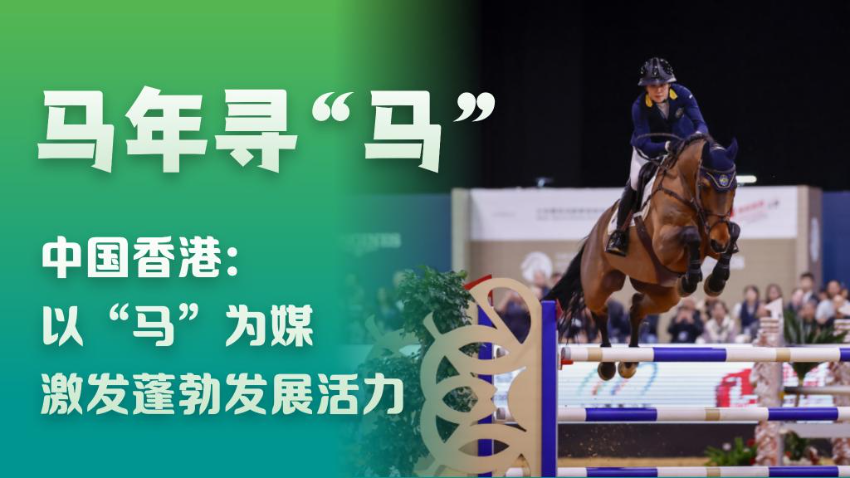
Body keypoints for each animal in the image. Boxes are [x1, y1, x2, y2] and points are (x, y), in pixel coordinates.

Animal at [545, 134, 741, 380]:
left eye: (734, 187)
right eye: (704, 186)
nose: (719, 240)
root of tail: (593, 235)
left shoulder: (713, 237)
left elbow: (734, 231)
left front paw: (716, 280)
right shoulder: (665, 246)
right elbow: (691, 235)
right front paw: (691, 278)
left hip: (663, 293)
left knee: (637, 307)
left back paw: (630, 360)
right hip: (600, 283)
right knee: (601, 311)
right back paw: (607, 363)